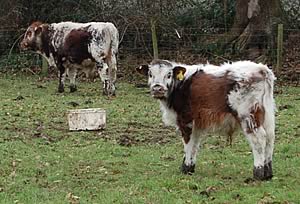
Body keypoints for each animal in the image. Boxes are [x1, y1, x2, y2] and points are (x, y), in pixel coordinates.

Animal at [137, 59, 276, 180]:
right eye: (150, 74)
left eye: (169, 74)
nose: (157, 88)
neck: (180, 85)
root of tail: (261, 69)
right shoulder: (197, 123)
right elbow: (194, 144)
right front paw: (190, 167)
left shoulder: (185, 119)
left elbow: (188, 142)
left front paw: (185, 167)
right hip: (267, 115)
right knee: (270, 138)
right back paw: (268, 173)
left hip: (248, 116)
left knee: (259, 140)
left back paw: (258, 172)